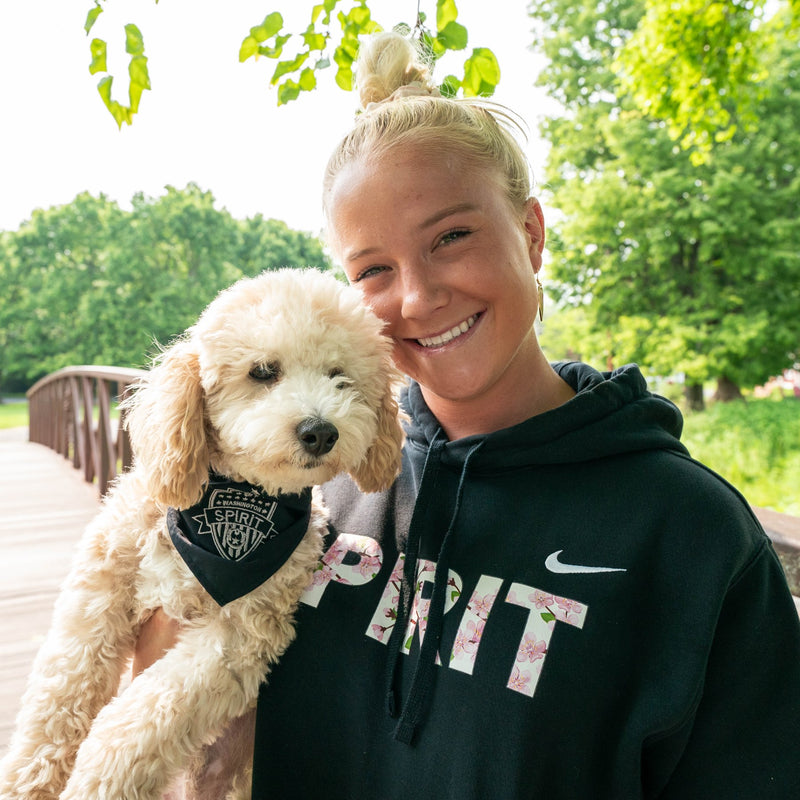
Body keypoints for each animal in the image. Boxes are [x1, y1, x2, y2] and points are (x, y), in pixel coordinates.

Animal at [0, 268, 404, 800]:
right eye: (263, 371)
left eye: (340, 376)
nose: (320, 432)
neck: (231, 504)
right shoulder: (99, 590)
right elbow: (59, 693)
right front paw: (29, 780)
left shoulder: (239, 636)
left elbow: (137, 720)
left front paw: (95, 783)